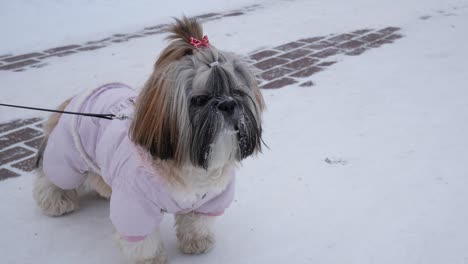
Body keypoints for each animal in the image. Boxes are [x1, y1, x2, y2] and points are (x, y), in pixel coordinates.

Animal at [33, 16, 266, 262]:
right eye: (200, 100)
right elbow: (142, 240)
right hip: (67, 159)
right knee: (52, 179)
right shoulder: (135, 204)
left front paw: (196, 241)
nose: (228, 104)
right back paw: (56, 202)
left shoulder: (210, 199)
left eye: (237, 92)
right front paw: (150, 259)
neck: (188, 165)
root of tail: (75, 99)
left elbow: (197, 221)